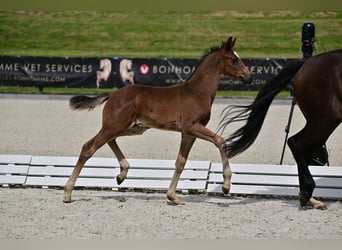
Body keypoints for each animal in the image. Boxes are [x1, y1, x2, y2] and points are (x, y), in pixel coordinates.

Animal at [63, 37, 251, 205]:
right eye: (234, 59)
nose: (248, 76)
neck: (197, 92)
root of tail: (112, 94)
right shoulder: (192, 127)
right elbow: (220, 141)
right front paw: (226, 186)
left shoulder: (188, 133)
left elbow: (180, 162)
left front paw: (173, 197)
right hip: (116, 125)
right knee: (89, 147)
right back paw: (68, 193)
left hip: (132, 127)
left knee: (109, 140)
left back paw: (122, 174)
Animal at [220, 48, 340, 209]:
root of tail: (307, 62)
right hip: (325, 120)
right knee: (296, 143)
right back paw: (307, 193)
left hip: (322, 123)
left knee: (304, 150)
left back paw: (308, 197)